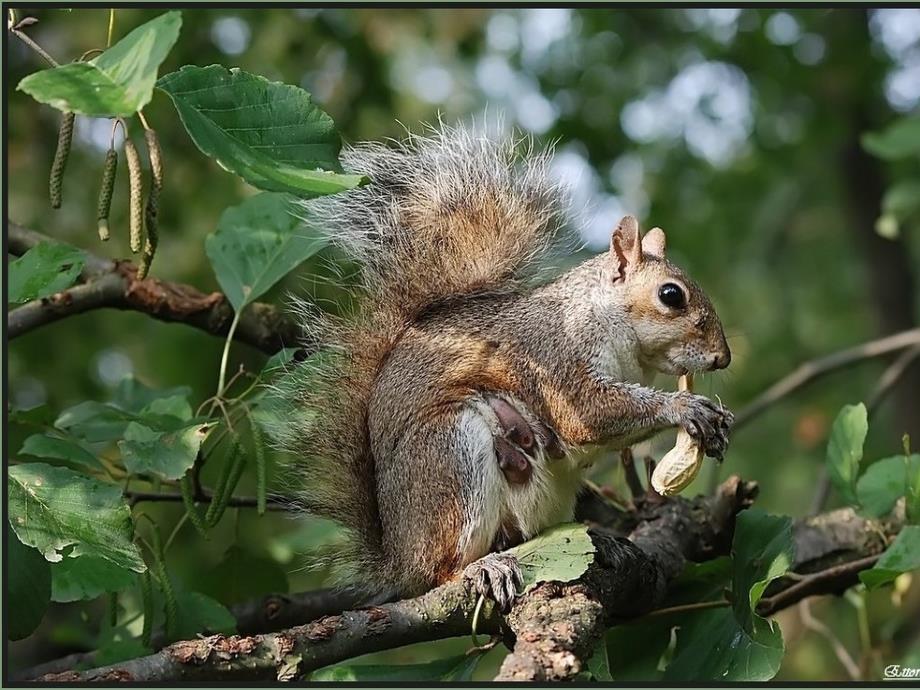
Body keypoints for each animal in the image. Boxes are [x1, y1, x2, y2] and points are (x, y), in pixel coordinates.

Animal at [266, 123, 732, 608]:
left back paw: (602, 543)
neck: (609, 322)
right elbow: (589, 413)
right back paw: (479, 568)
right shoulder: (555, 359)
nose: (724, 357)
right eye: (671, 295)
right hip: (451, 456)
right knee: (440, 570)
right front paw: (685, 408)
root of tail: (398, 559)